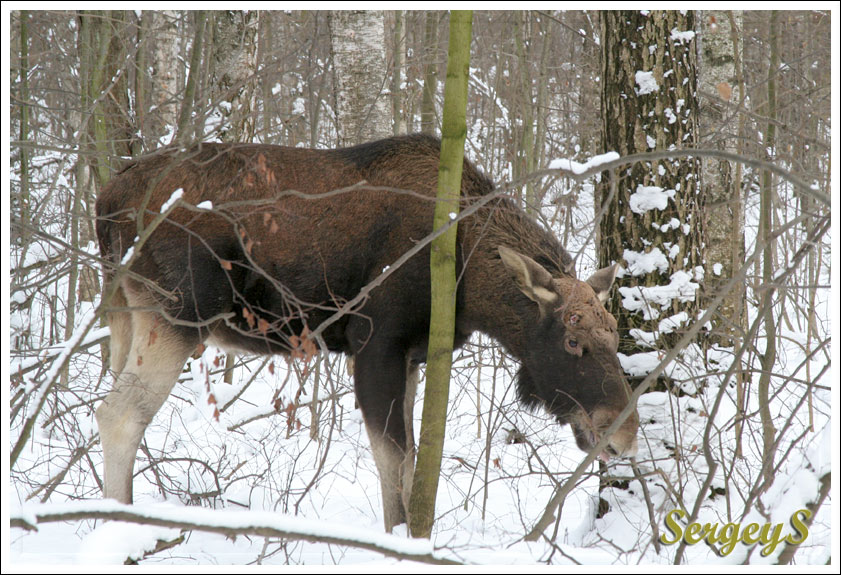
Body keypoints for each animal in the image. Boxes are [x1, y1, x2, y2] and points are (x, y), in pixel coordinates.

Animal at [95, 134, 636, 532]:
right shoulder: (376, 345)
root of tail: (104, 204)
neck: (467, 285)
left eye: (615, 335)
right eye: (573, 341)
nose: (625, 434)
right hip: (178, 313)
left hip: (126, 311)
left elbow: (411, 461)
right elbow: (393, 462)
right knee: (118, 415)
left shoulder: (412, 355)